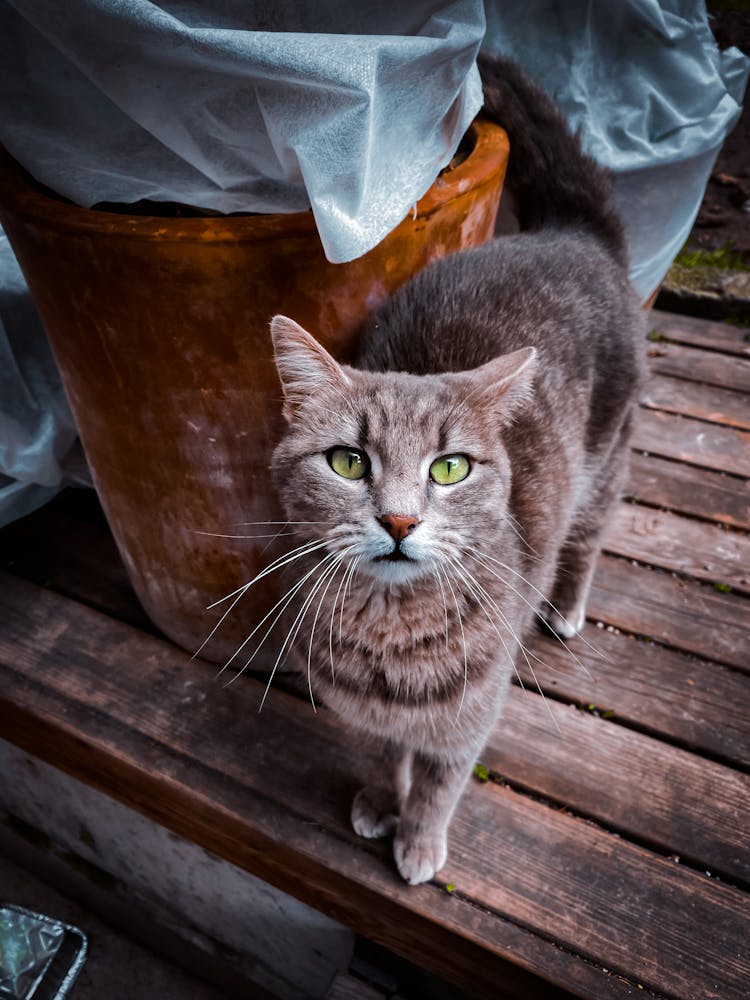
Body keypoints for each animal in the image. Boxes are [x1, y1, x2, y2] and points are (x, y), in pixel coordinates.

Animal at [266, 54, 648, 884]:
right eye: (348, 461)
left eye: (448, 470)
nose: (400, 519)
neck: (389, 643)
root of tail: (571, 230)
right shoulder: (368, 718)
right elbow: (384, 759)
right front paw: (382, 804)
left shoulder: (468, 718)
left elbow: (440, 783)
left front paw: (418, 841)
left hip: (605, 466)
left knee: (588, 539)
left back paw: (566, 607)